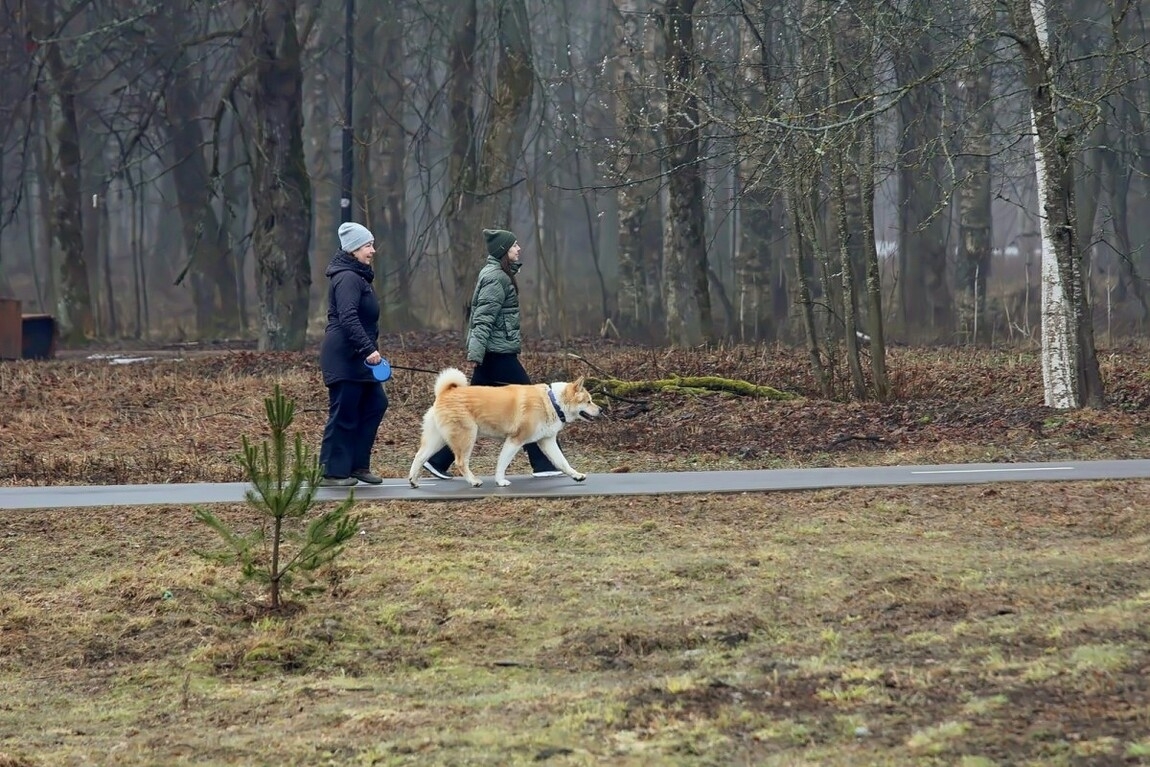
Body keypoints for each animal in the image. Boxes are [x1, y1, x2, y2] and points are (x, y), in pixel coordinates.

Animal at [409, 367, 602, 489]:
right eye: (588, 401)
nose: (601, 410)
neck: (553, 402)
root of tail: (445, 392)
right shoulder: (515, 441)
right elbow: (502, 463)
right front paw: (500, 482)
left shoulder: (547, 442)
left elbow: (563, 462)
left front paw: (576, 475)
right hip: (467, 437)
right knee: (461, 462)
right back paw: (473, 481)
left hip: (438, 440)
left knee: (419, 457)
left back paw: (413, 481)